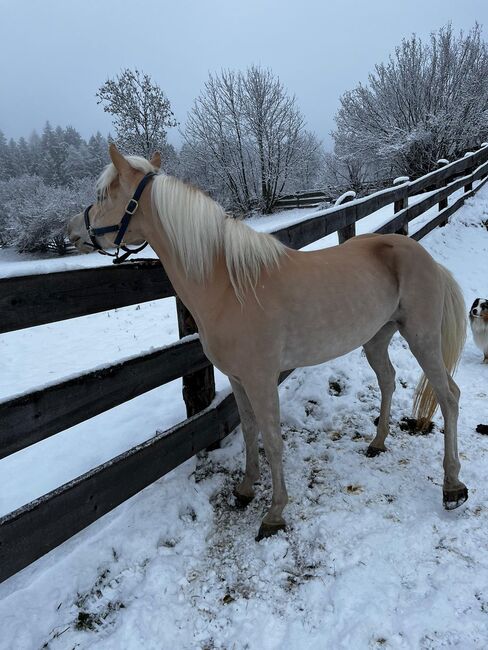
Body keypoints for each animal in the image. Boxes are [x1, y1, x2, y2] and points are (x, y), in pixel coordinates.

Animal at [67, 146, 468, 536]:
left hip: (422, 337)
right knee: (388, 380)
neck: (229, 286)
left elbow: (273, 440)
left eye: (103, 194)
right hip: (376, 338)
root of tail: (424, 258)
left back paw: (452, 486)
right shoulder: (237, 379)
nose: (71, 232)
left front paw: (274, 513)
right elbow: (249, 431)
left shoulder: (261, 379)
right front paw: (245, 489)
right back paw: (377, 443)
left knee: (449, 395)